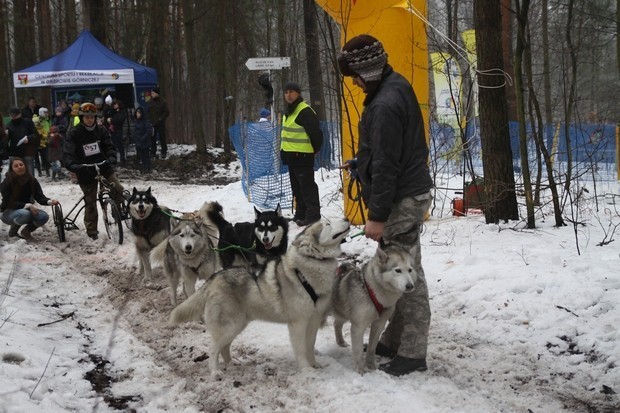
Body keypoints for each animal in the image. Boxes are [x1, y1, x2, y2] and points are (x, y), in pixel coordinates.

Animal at [170, 217, 352, 374]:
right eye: (327, 223)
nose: (346, 218)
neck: (311, 266)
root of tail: (215, 277)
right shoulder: (298, 323)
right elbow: (301, 349)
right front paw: (307, 370)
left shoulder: (313, 321)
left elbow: (310, 346)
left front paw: (314, 365)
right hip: (229, 327)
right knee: (213, 349)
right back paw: (215, 371)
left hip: (237, 326)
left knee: (224, 348)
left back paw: (232, 363)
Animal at [332, 243, 414, 372]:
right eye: (398, 270)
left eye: (410, 270)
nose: (410, 286)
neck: (373, 290)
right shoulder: (358, 327)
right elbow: (358, 351)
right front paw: (360, 369)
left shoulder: (379, 324)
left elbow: (371, 348)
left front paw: (371, 366)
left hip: (342, 312)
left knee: (336, 323)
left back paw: (341, 342)